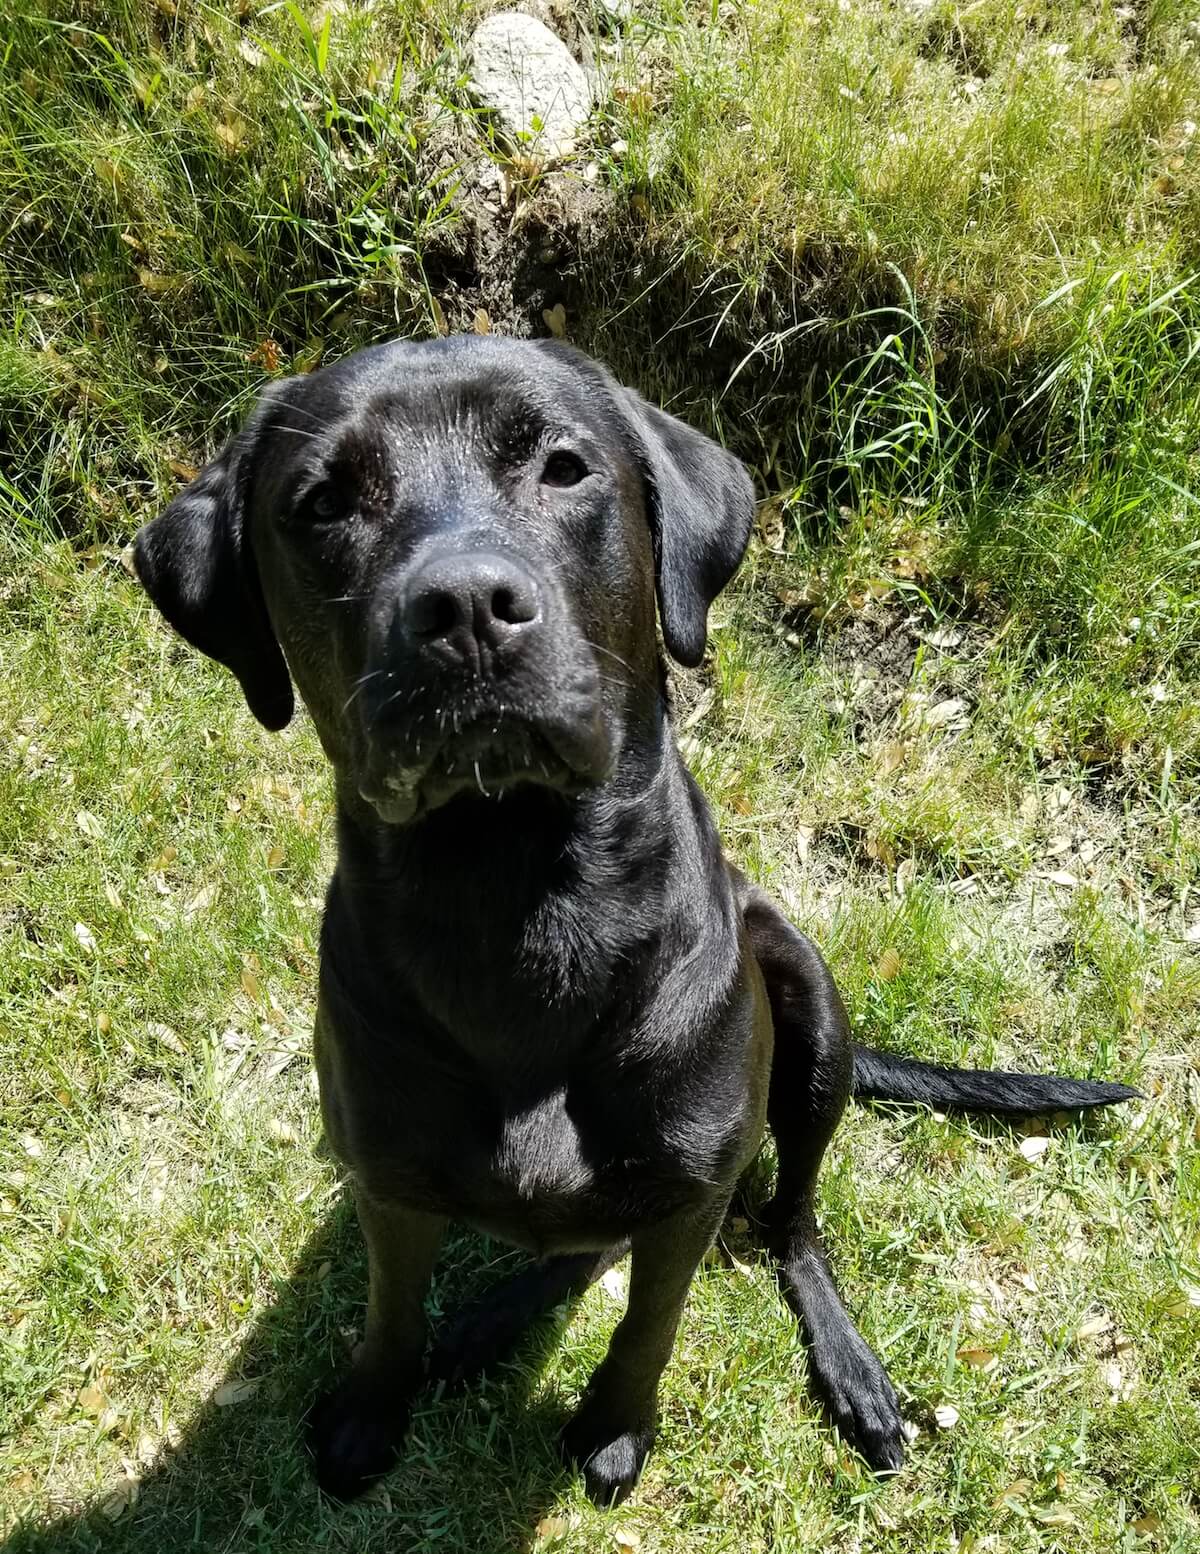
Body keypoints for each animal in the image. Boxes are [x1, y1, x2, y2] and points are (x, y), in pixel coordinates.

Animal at [136, 337, 1137, 1504]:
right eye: (323, 501)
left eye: (565, 468)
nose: (466, 606)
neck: (518, 894)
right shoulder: (386, 1178)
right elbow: (390, 1311)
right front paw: (370, 1413)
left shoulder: (691, 1188)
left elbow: (653, 1322)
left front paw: (616, 1428)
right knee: (590, 1240)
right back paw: (489, 1319)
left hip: (809, 1013)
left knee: (789, 1220)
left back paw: (850, 1371)